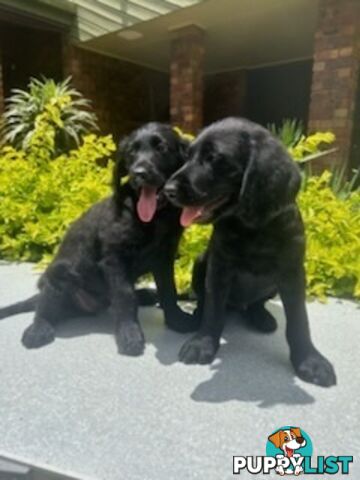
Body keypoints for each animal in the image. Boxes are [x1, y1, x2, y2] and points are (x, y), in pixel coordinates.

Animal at [0, 123, 197, 356]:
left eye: (162, 148)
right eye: (131, 152)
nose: (138, 173)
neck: (153, 217)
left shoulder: (164, 257)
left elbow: (169, 291)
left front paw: (176, 320)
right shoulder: (114, 259)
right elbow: (125, 296)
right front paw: (129, 335)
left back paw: (146, 294)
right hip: (59, 274)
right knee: (44, 309)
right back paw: (37, 330)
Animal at [166, 118, 338, 388]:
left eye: (213, 158)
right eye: (188, 156)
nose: (167, 190)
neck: (253, 226)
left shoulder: (292, 272)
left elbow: (299, 321)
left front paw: (310, 360)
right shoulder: (219, 266)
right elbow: (213, 308)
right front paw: (203, 342)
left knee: (255, 303)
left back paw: (261, 317)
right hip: (201, 263)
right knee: (207, 300)